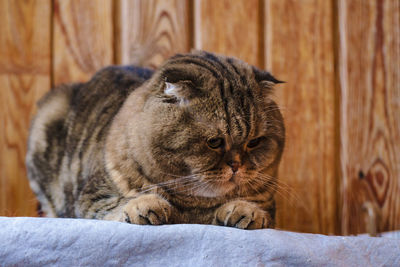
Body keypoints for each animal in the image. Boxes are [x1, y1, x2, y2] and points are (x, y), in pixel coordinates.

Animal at [25, 50, 284, 230]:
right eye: (215, 142)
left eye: (254, 142)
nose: (236, 166)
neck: (195, 208)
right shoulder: (92, 196)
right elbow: (119, 205)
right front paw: (147, 206)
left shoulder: (269, 204)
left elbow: (257, 210)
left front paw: (245, 211)